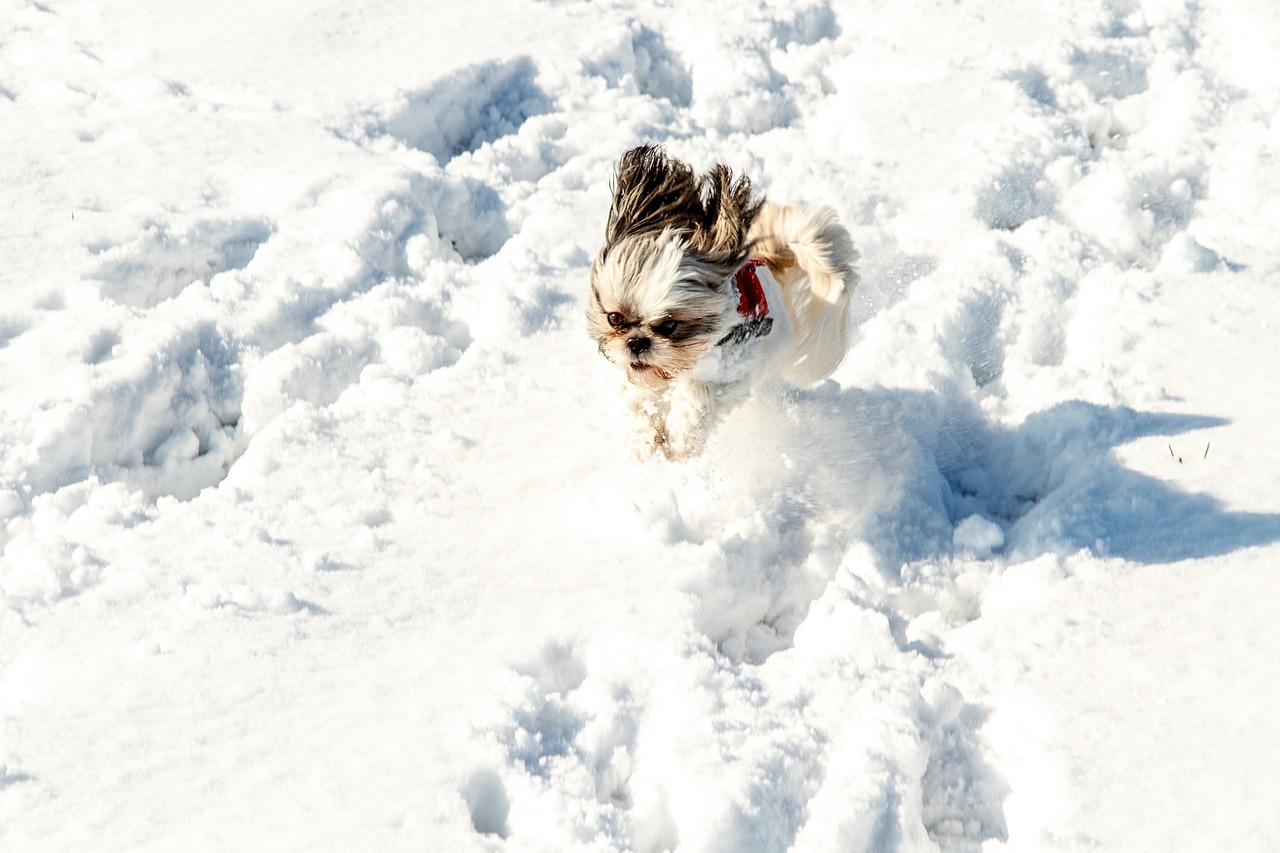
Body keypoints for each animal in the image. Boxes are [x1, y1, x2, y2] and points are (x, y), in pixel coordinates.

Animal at [588, 142, 860, 458]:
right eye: (614, 318)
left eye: (669, 325)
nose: (636, 342)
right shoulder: (636, 377)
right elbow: (636, 400)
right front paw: (645, 442)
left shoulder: (734, 373)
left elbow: (699, 395)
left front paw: (681, 441)